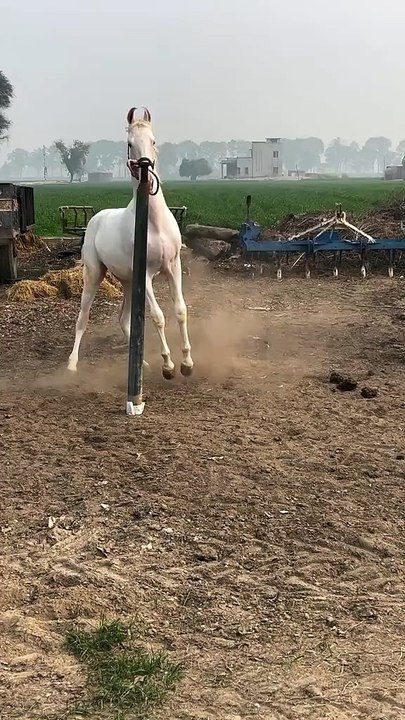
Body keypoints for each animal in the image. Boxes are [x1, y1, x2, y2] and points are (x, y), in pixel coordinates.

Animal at [67, 106, 193, 379]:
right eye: (129, 144)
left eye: (153, 141)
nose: (147, 168)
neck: (154, 224)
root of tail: (96, 218)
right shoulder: (145, 275)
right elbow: (157, 316)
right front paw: (168, 365)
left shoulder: (173, 266)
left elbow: (180, 310)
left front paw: (187, 363)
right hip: (94, 274)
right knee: (83, 318)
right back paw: (71, 364)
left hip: (127, 281)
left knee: (123, 320)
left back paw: (143, 364)